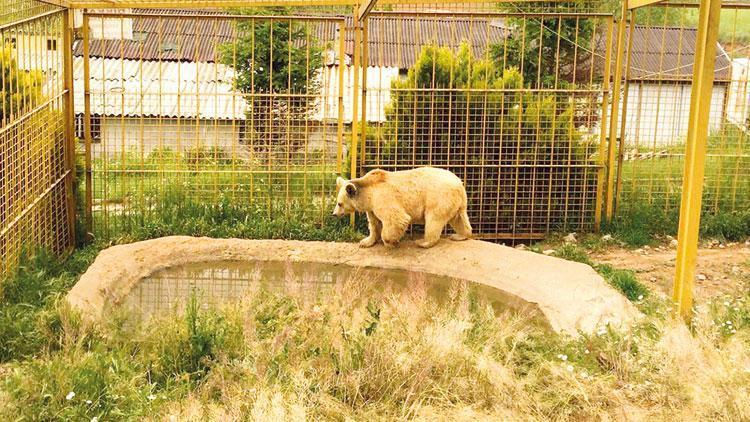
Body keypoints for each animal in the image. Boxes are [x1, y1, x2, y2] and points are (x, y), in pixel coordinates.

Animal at [334, 167, 472, 247]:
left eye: (339, 203)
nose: (334, 214)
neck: (369, 191)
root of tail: (458, 183)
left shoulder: (383, 197)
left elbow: (396, 218)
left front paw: (390, 241)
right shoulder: (372, 207)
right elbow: (374, 223)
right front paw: (365, 242)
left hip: (438, 197)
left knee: (433, 219)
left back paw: (423, 242)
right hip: (457, 202)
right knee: (459, 219)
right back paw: (460, 235)